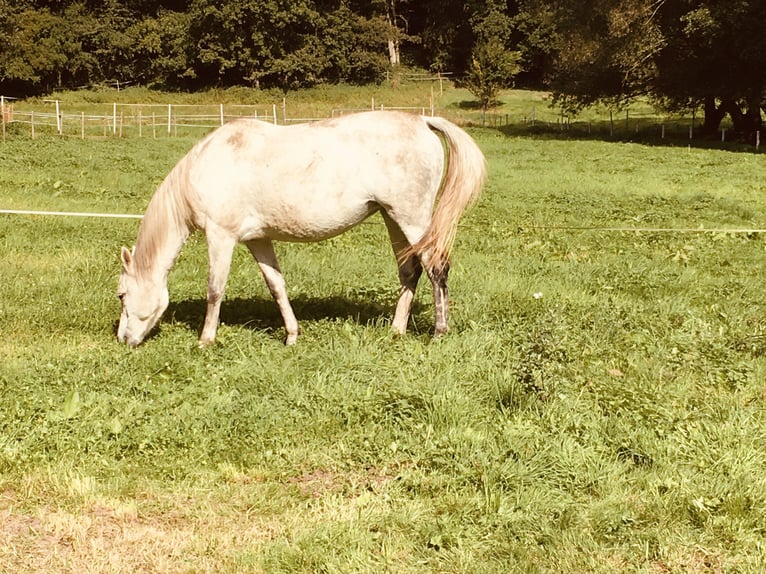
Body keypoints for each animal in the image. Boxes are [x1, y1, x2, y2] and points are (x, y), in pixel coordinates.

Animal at [115, 111, 486, 348]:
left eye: (121, 294)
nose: (123, 339)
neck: (210, 163)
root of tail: (422, 121)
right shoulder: (258, 240)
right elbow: (277, 286)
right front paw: (292, 336)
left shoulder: (221, 236)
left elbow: (215, 289)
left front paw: (206, 340)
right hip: (393, 218)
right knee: (410, 270)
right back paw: (396, 331)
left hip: (412, 218)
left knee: (436, 267)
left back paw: (439, 331)